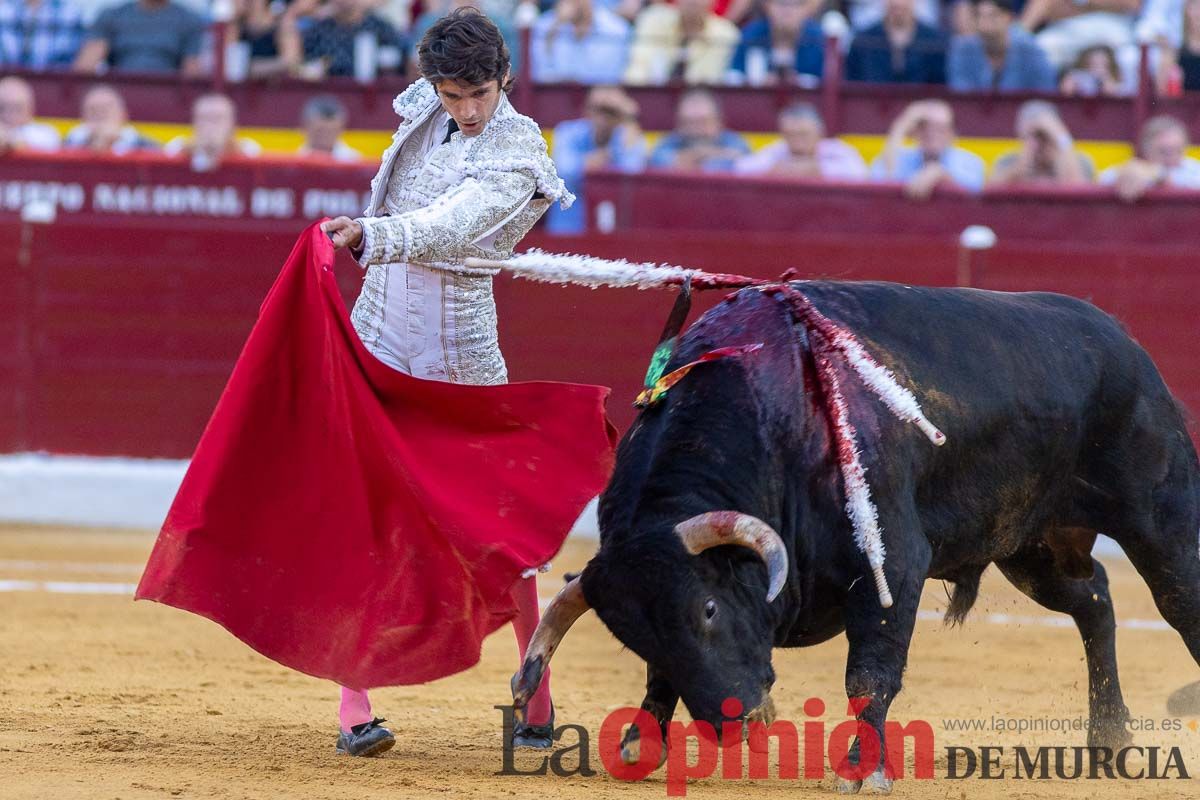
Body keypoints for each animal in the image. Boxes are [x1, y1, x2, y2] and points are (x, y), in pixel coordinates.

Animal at [508, 280, 1200, 786]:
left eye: (707, 608)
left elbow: (870, 674)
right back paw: (1108, 739)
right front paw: (639, 744)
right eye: (634, 636)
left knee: (1179, 603)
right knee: (1096, 600)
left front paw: (864, 772)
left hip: (1162, 517)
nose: (734, 722)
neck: (772, 416)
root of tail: (1119, 336)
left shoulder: (892, 563)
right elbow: (661, 680)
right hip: (1030, 546)